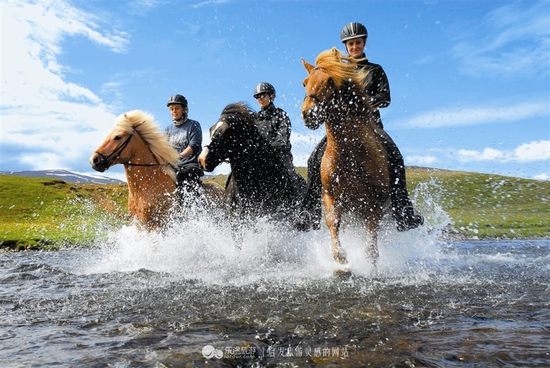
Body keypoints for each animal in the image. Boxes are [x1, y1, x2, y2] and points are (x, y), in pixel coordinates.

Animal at [302, 48, 392, 268]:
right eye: (305, 82)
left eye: (330, 81)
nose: (308, 114)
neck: (348, 154)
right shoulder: (331, 195)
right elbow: (332, 220)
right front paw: (340, 258)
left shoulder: (374, 201)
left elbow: (372, 228)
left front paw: (370, 260)